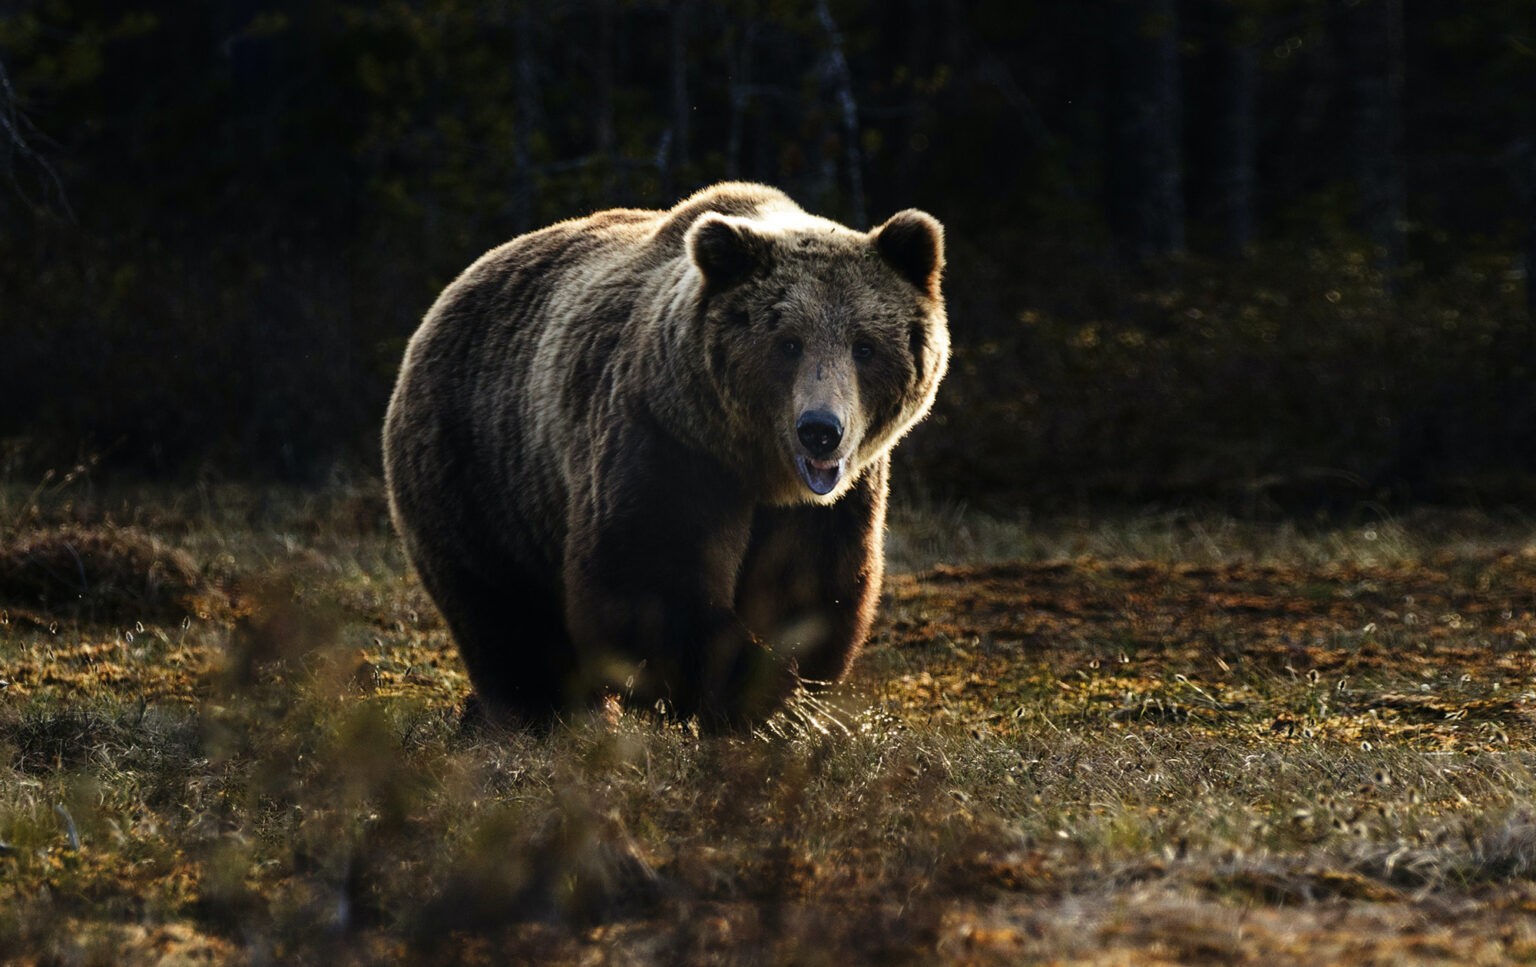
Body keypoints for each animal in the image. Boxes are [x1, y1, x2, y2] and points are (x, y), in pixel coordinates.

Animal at [380, 180, 946, 727]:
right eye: (788, 343)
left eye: (864, 346)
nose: (821, 431)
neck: (758, 467)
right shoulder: (667, 441)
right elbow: (649, 578)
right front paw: (745, 691)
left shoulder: (833, 501)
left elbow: (811, 588)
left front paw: (785, 697)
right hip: (478, 465)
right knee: (503, 611)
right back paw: (537, 713)